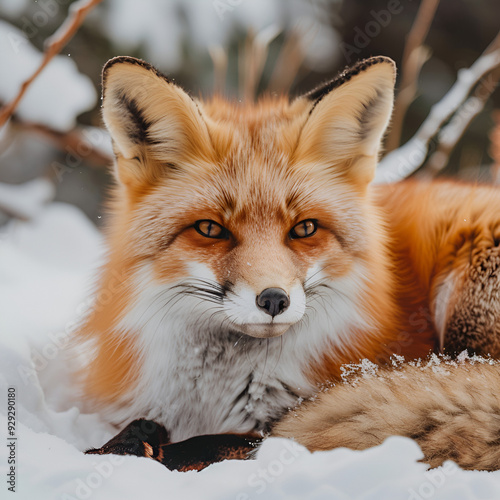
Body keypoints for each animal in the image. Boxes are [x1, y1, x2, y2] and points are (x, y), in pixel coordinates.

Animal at [80, 55, 500, 472]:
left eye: (305, 228)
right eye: (210, 229)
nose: (273, 300)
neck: (219, 391)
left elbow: (245, 441)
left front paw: (149, 450)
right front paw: (122, 444)